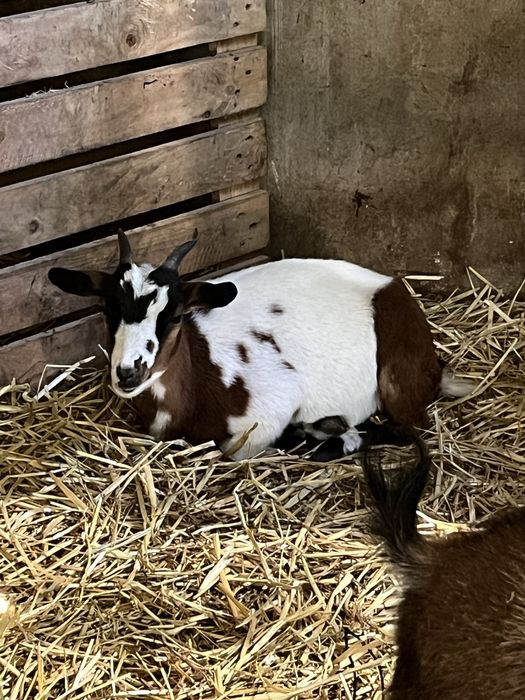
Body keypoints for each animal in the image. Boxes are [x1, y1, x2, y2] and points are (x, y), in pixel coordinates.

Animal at [48, 233, 472, 460]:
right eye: (107, 308)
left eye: (175, 315)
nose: (128, 371)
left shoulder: (272, 404)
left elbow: (236, 449)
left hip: (399, 382)